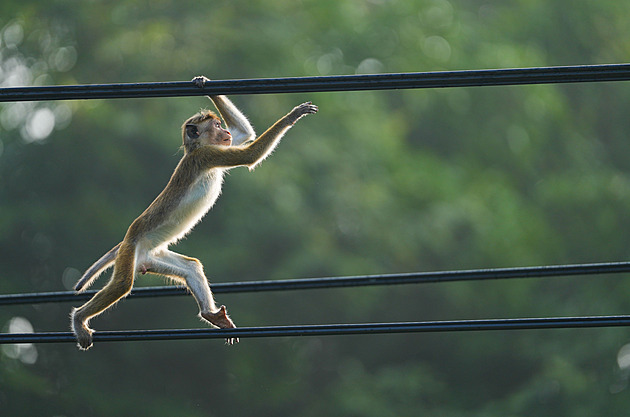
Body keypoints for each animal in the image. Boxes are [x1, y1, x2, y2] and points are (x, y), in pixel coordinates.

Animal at [71, 76, 318, 350]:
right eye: (217, 126)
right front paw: (291, 117)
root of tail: (129, 242)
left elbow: (245, 135)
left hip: (152, 257)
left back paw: (210, 314)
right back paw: (79, 319)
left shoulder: (217, 149)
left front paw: (204, 84)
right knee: (122, 284)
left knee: (191, 267)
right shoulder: (207, 155)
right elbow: (249, 154)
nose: (225, 132)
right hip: (130, 251)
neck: (196, 148)